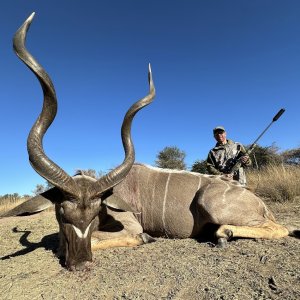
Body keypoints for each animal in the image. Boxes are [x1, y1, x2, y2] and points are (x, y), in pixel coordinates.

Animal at [7, 13, 298, 272]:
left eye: (94, 213)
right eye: (61, 214)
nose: (80, 264)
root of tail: (260, 204)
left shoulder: (129, 225)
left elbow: (111, 238)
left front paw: (145, 238)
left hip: (213, 204)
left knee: (281, 228)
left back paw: (223, 234)